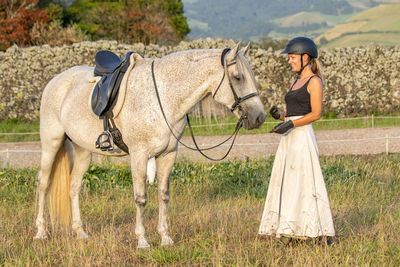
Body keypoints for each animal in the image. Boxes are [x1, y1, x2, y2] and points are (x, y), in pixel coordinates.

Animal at [34, 43, 266, 250]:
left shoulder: (168, 154)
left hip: (83, 151)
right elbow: (141, 198)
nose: (259, 117)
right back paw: (41, 232)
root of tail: (55, 81)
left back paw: (80, 233)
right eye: (238, 77)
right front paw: (142, 240)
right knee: (43, 184)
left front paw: (165, 238)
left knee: (74, 187)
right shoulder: (139, 155)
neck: (163, 95)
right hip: (51, 143)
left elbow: (163, 195)